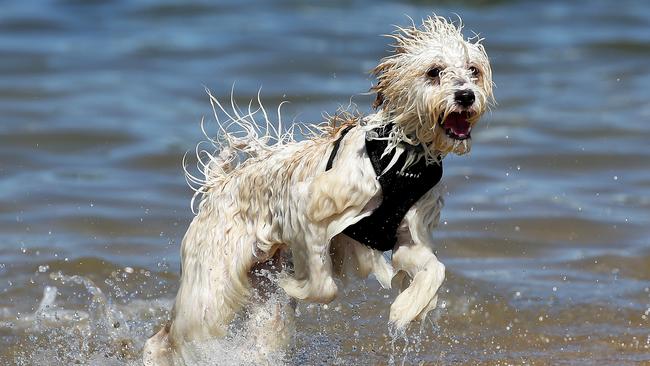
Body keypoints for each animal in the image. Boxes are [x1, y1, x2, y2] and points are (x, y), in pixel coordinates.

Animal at [144, 15, 494, 364]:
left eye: (473, 69)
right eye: (434, 71)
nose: (466, 96)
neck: (402, 157)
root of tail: (219, 184)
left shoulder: (410, 239)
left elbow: (435, 268)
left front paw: (406, 309)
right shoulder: (307, 210)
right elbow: (325, 286)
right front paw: (297, 284)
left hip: (258, 297)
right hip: (211, 289)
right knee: (164, 338)